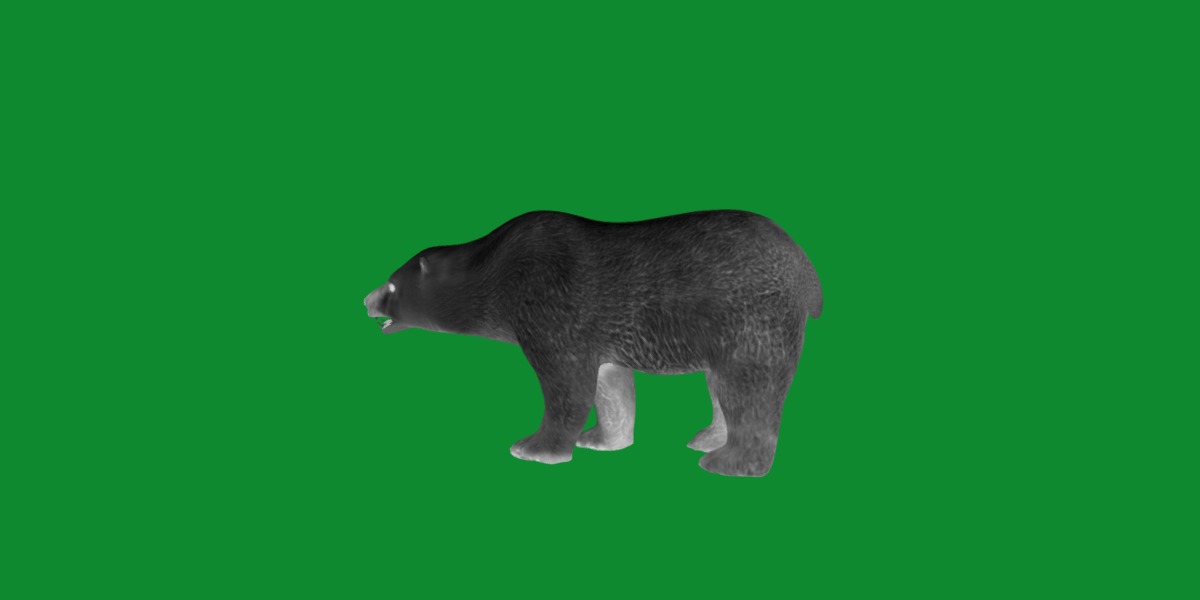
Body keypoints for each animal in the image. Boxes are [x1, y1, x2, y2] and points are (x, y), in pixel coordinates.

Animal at [363, 210, 822, 477]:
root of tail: (806, 269)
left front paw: (534, 448)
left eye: (392, 284)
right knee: (719, 384)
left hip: (749, 312)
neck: (497, 264)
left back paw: (728, 461)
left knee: (747, 383)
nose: (366, 300)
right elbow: (609, 383)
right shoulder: (601, 335)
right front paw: (600, 439)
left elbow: (566, 382)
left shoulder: (548, 299)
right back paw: (708, 437)